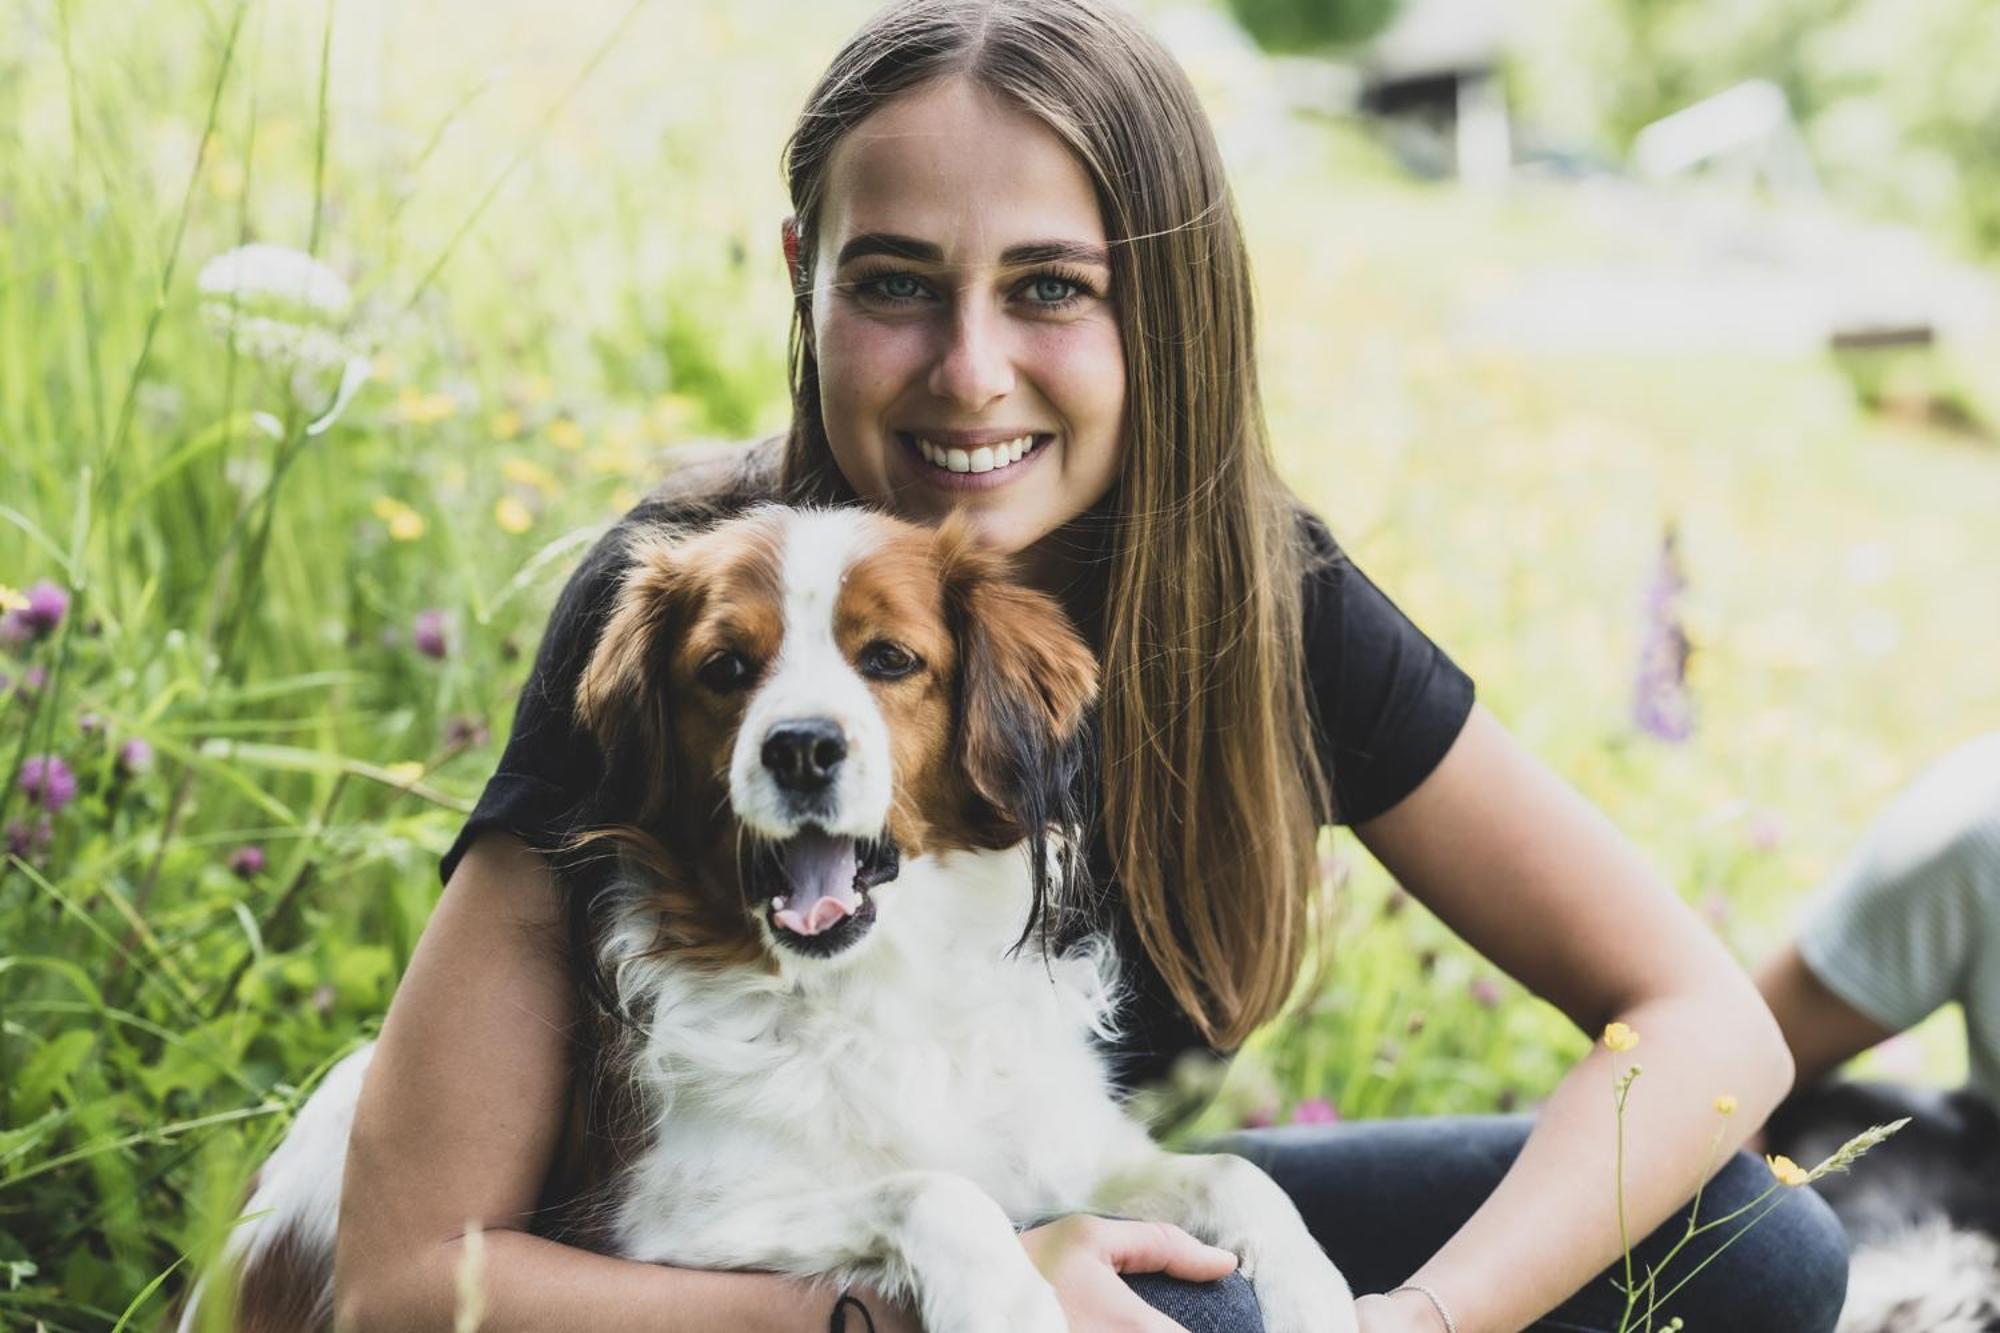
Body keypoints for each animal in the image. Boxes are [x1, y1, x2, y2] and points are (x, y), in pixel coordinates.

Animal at [188, 500, 1360, 1328]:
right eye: (724, 668)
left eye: (889, 658)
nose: (800, 746)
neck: (876, 991)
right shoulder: (665, 1222)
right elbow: (931, 1189)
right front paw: (1014, 1303)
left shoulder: (1063, 1154)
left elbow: (1236, 1171)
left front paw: (1317, 1298)